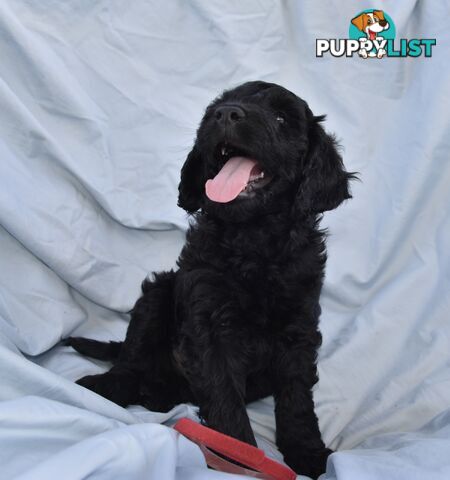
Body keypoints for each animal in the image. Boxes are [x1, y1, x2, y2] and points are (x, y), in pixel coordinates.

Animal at [67, 80, 356, 478]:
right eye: (216, 107)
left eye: (281, 118)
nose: (226, 113)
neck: (254, 242)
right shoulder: (209, 322)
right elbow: (224, 397)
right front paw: (239, 457)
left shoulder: (298, 327)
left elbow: (296, 397)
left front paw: (307, 452)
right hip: (158, 294)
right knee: (130, 357)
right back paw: (110, 385)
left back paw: (156, 395)